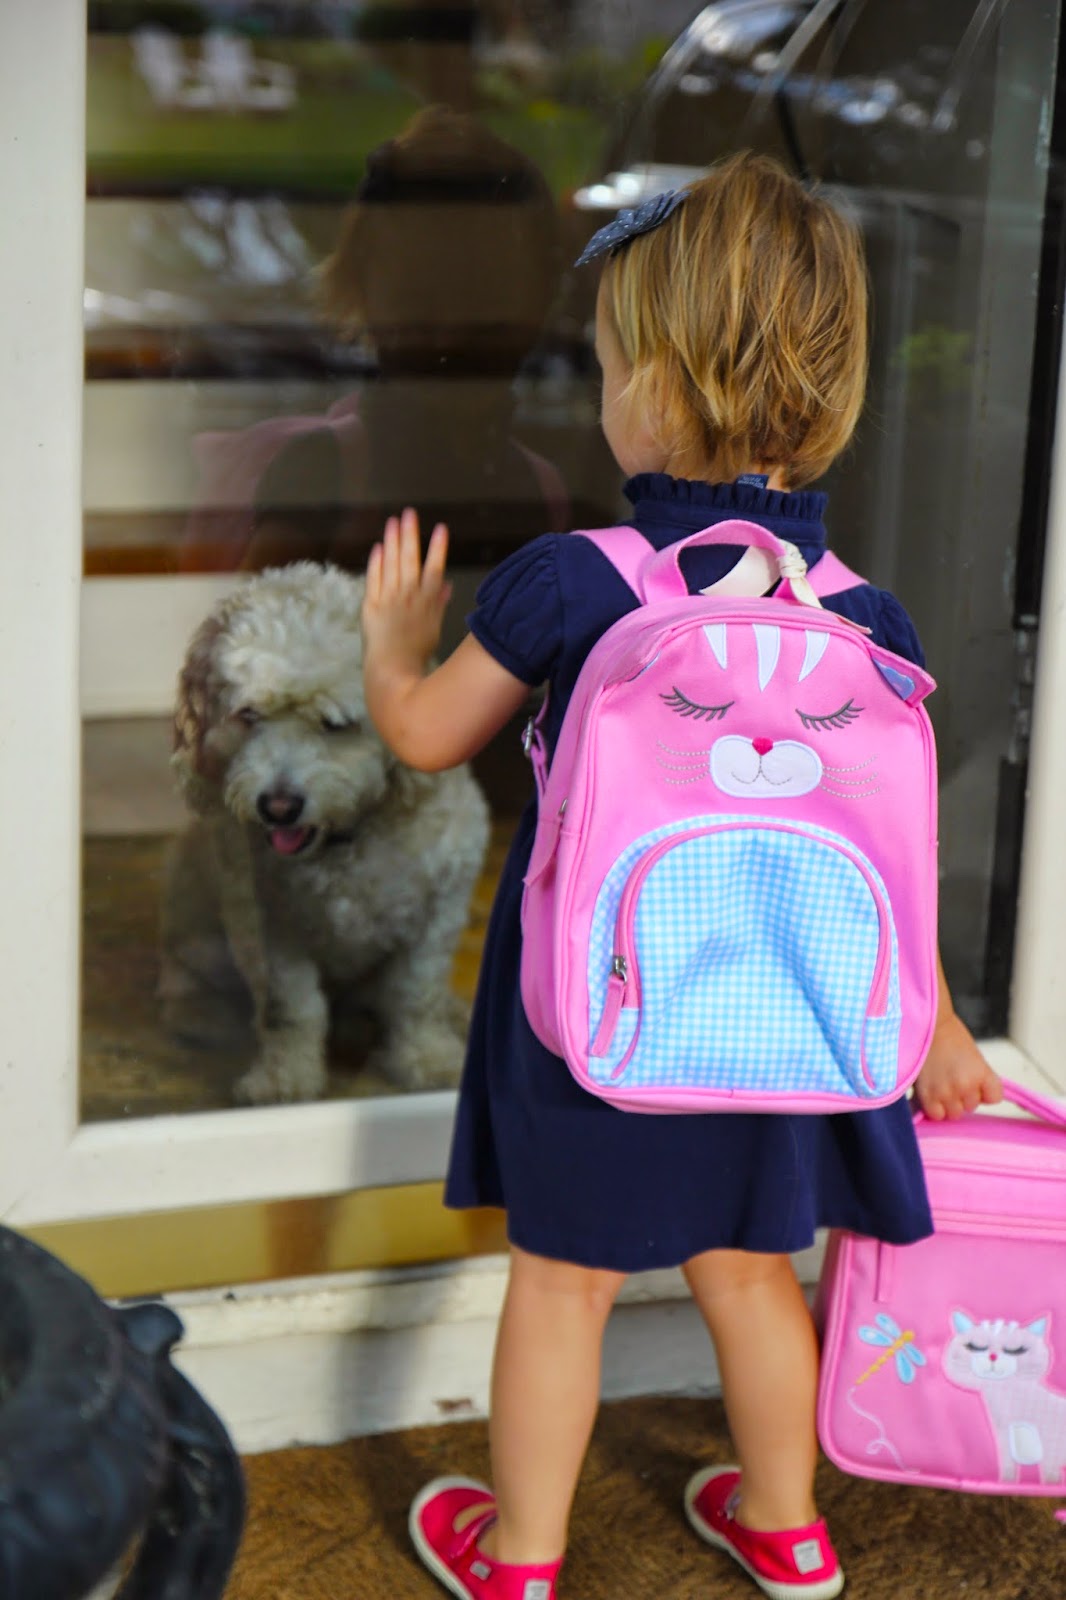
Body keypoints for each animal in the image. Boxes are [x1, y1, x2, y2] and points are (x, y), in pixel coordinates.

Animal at [159, 561, 489, 1104]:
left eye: (335, 724)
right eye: (248, 715)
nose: (278, 807)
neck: (343, 841)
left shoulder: (438, 911)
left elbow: (417, 995)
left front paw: (428, 1059)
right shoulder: (270, 928)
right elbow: (291, 1010)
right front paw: (285, 1078)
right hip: (194, 917)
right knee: (185, 978)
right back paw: (202, 1017)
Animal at [942, 1310, 1066, 1485]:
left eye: (1016, 1350)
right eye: (974, 1347)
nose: (993, 1356)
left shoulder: (1050, 1449)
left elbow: (1049, 1475)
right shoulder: (1005, 1442)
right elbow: (1009, 1469)